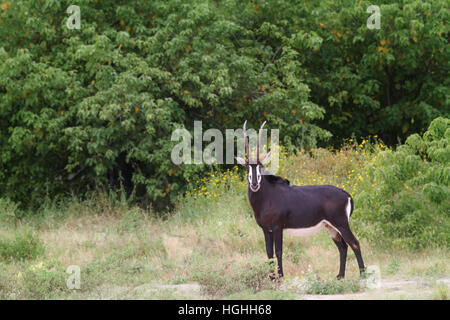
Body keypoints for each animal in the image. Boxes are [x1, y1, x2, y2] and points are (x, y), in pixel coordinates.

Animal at [236, 121, 366, 278]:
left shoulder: (277, 227)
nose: (254, 184)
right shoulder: (266, 230)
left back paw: (362, 275)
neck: (266, 197)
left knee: (354, 243)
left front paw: (280, 277)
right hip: (331, 227)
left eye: (260, 167)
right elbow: (269, 254)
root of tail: (347, 195)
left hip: (341, 224)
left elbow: (278, 252)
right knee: (343, 247)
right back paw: (340, 276)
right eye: (246, 167)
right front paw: (271, 278)